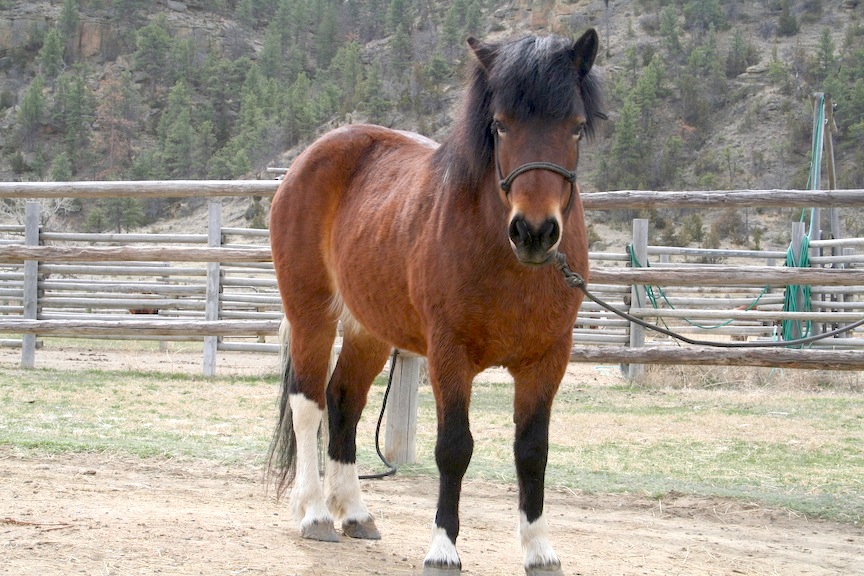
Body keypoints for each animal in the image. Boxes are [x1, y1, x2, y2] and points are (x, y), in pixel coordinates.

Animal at [267, 29, 604, 576]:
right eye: (499, 125)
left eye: (575, 128)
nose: (534, 232)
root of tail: (307, 159)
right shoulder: (449, 355)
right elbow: (454, 448)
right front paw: (443, 549)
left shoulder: (548, 359)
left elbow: (532, 451)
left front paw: (539, 550)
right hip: (311, 314)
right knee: (308, 402)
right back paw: (315, 513)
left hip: (368, 329)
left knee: (344, 402)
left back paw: (355, 513)